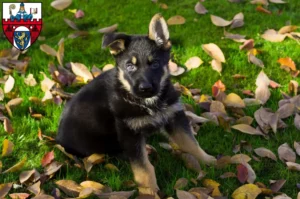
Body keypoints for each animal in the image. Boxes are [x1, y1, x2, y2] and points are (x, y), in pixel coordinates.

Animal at [56, 13, 216, 197]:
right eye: (130, 66)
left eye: (155, 64)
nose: (145, 88)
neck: (148, 103)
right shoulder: (129, 132)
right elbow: (143, 167)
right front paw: (149, 192)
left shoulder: (174, 116)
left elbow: (190, 142)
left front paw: (209, 160)